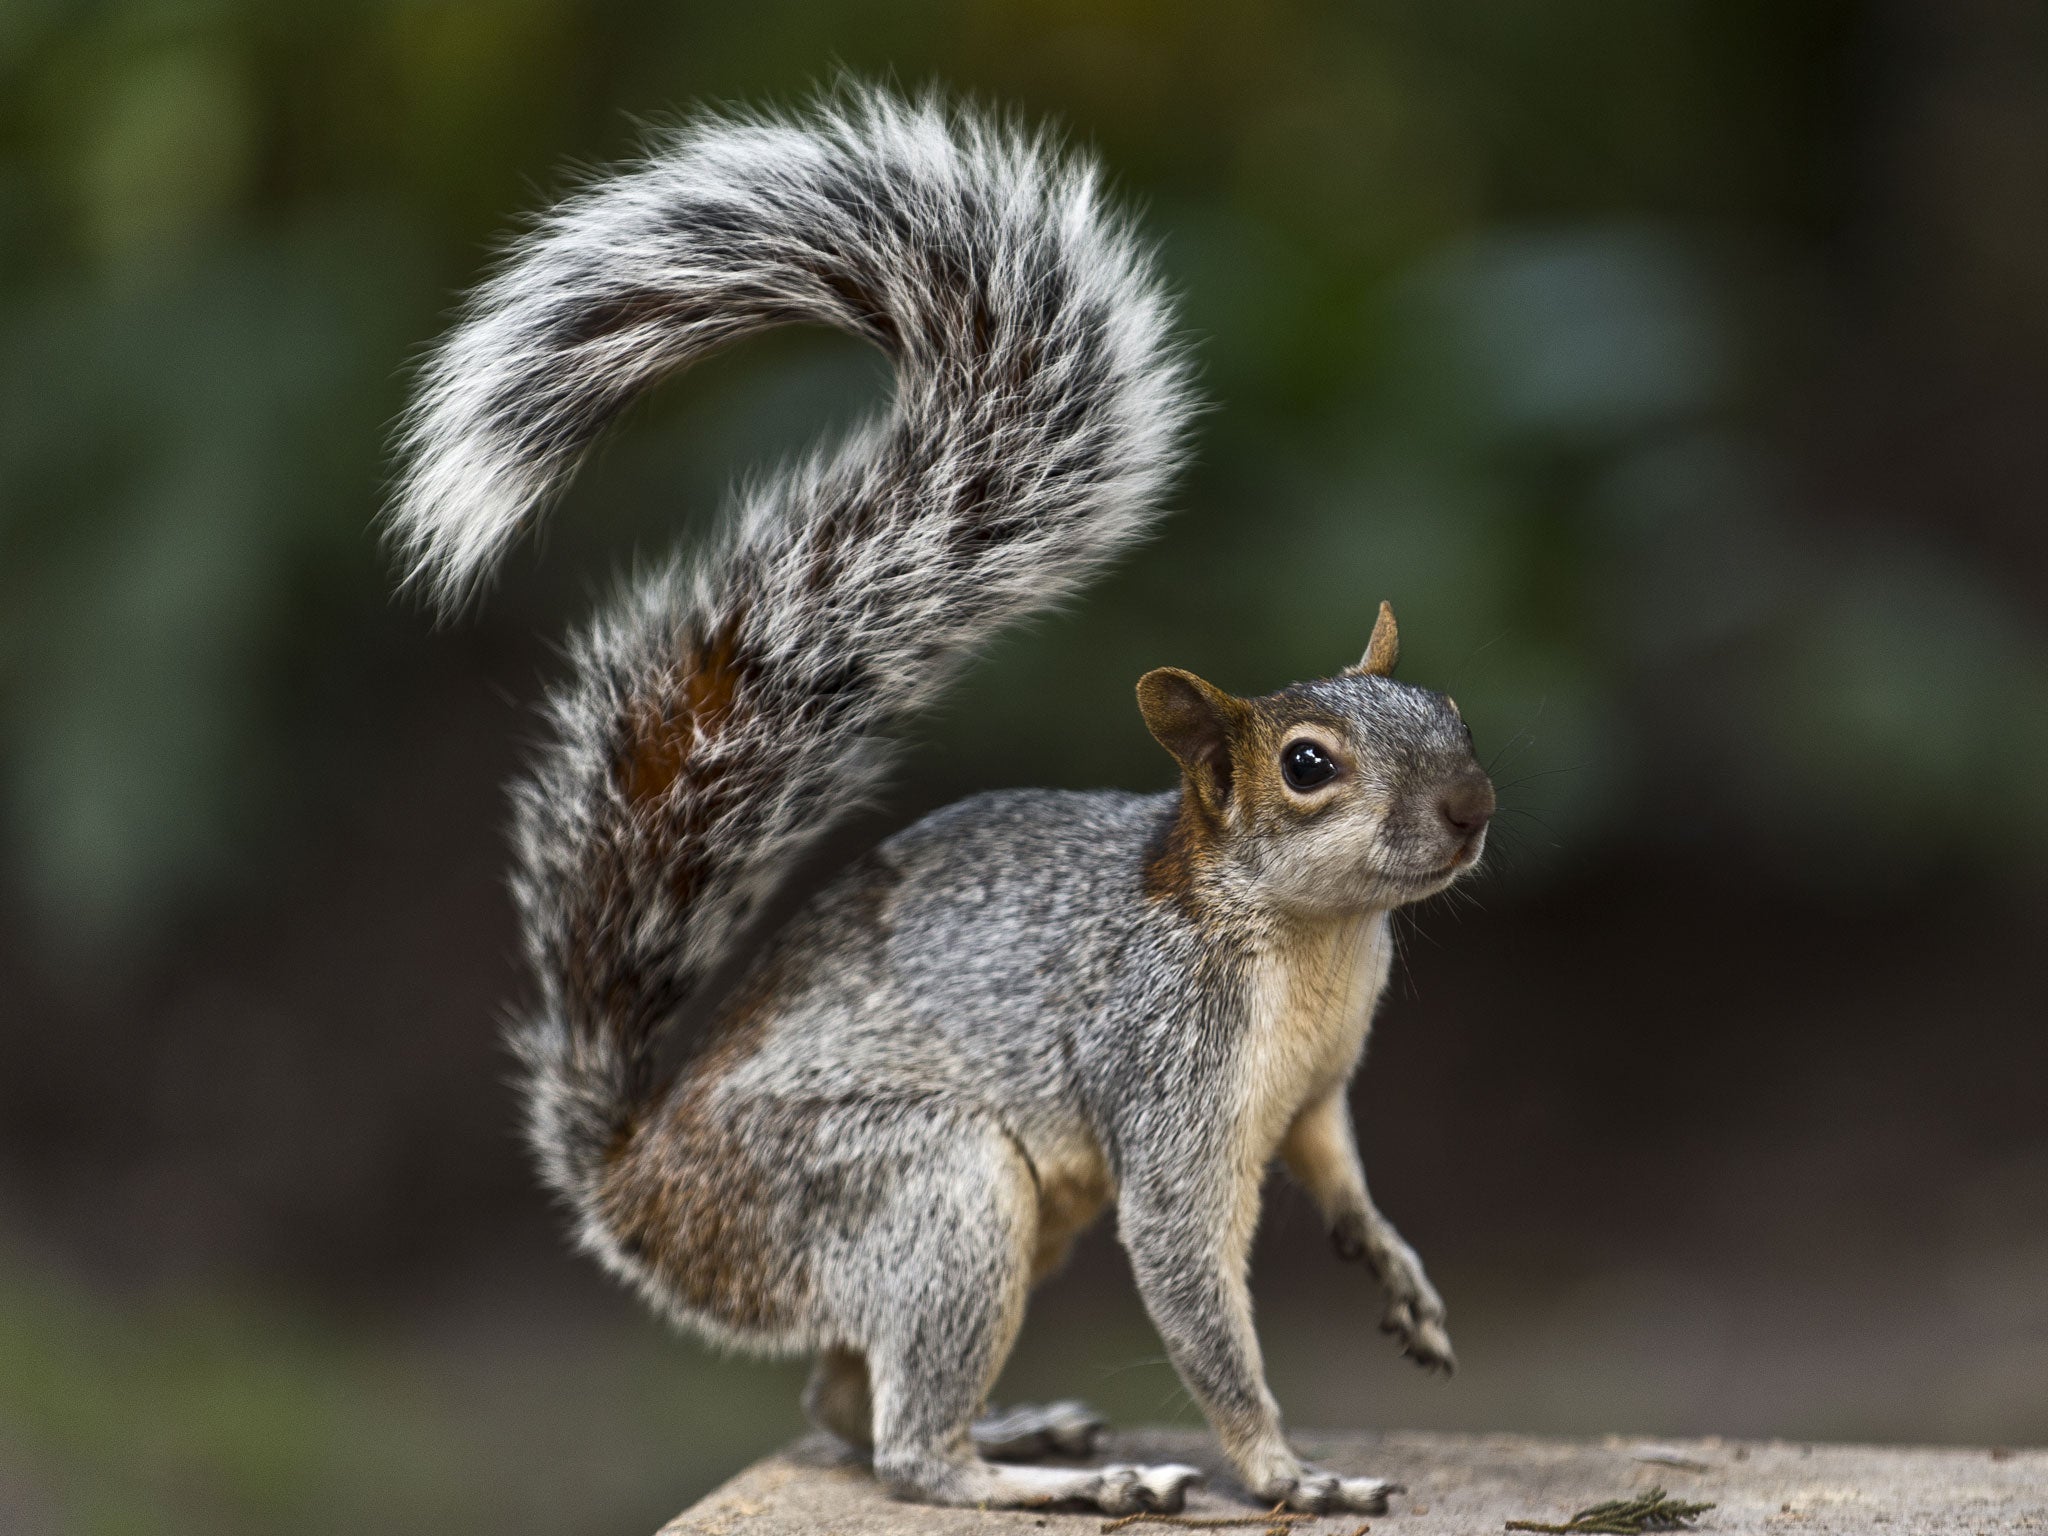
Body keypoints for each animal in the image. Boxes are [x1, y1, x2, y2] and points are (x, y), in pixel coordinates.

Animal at [391, 90, 1499, 1523]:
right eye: (1307, 767)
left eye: (1448, 709)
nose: (1471, 808)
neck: (1309, 940)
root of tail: (636, 1194)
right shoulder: (1166, 1073)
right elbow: (1195, 1298)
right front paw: (1286, 1472)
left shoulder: (1312, 1094)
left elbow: (1339, 1170)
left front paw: (1393, 1270)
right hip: (928, 1186)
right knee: (903, 1449)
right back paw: (1049, 1477)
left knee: (835, 1404)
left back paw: (1026, 1428)